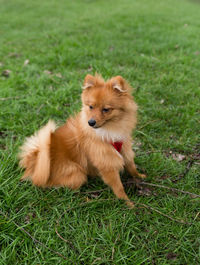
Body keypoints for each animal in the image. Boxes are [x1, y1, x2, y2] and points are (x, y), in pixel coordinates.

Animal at [19, 73, 145, 206]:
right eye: (91, 107)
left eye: (106, 109)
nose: (91, 122)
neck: (109, 129)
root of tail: (35, 159)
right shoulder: (106, 161)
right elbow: (118, 187)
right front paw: (127, 203)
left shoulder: (124, 146)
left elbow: (131, 165)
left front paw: (139, 176)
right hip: (77, 174)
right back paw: (86, 199)